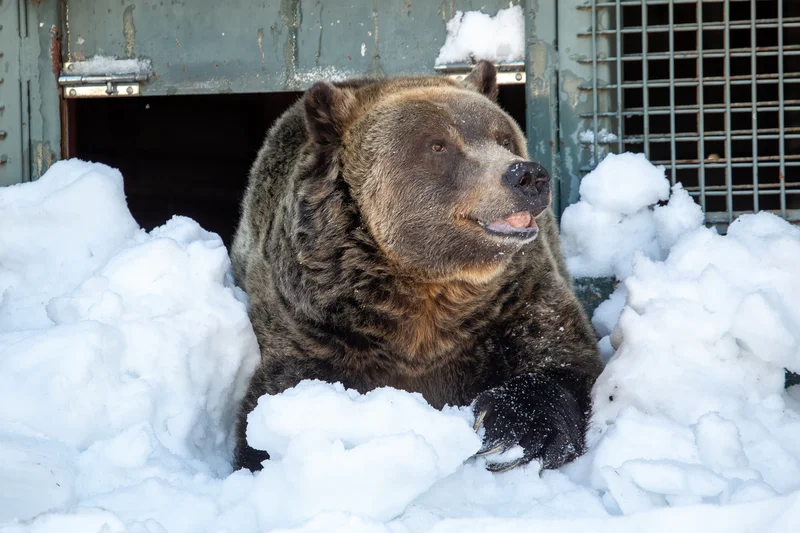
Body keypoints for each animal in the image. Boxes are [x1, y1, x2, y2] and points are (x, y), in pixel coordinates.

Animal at [230, 61, 603, 473]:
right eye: (437, 145)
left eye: (504, 138)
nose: (526, 175)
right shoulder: (313, 319)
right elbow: (277, 395)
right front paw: (267, 453)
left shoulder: (515, 297)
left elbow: (560, 359)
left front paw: (511, 434)